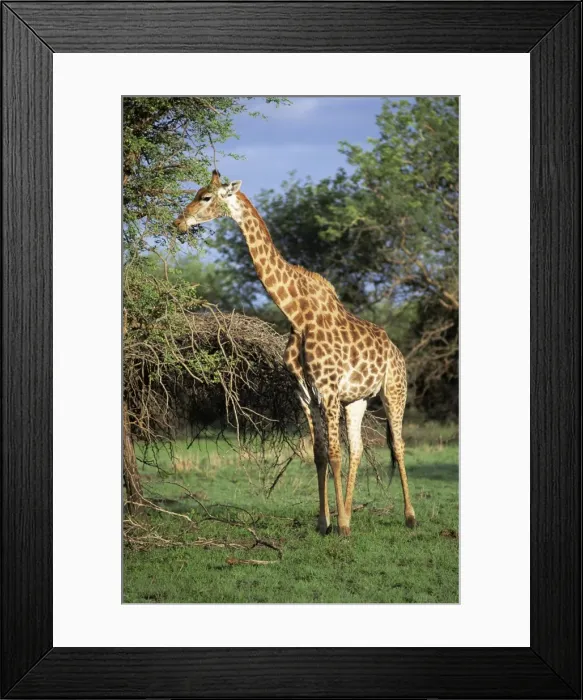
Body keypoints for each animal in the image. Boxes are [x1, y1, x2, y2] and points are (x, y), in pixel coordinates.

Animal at [174, 171, 415, 536]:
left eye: (205, 197)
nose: (178, 221)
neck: (297, 314)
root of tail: (397, 352)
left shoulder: (328, 390)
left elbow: (334, 454)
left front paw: (340, 527)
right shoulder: (305, 393)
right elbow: (318, 454)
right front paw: (325, 522)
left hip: (393, 390)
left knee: (398, 447)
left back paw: (409, 517)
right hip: (357, 400)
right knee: (359, 448)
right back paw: (351, 513)